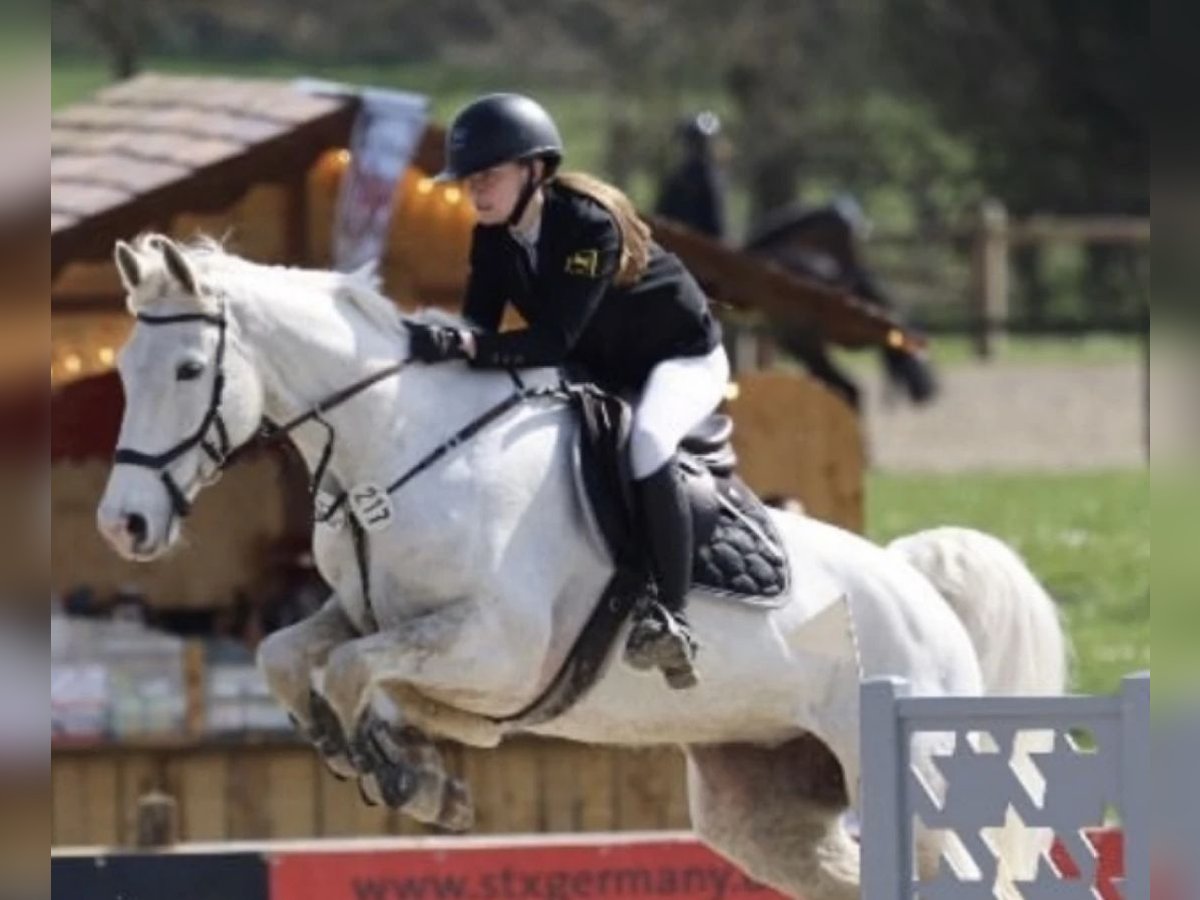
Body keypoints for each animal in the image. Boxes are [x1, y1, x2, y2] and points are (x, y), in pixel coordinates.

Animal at [98, 237, 1065, 900]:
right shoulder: (371, 615)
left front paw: (410, 773)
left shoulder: (499, 649)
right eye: (123, 370)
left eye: (189, 369)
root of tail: (922, 591)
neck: (399, 448)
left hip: (921, 785)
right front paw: (394, 759)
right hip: (764, 808)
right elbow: (293, 656)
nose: (125, 523)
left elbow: (351, 670)